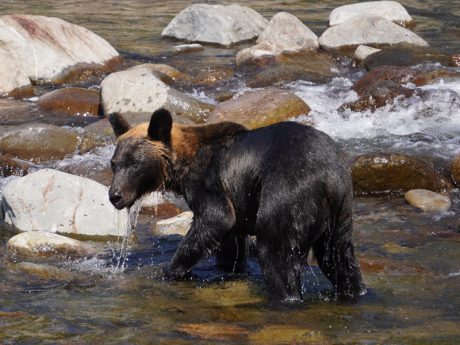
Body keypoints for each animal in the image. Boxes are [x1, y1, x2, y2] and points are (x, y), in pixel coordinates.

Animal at [108, 107, 366, 300]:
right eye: (114, 163)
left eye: (135, 163)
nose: (115, 195)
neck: (183, 167)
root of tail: (328, 177)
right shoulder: (240, 203)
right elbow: (231, 245)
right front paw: (228, 269)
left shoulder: (210, 181)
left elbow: (215, 219)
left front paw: (170, 271)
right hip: (341, 210)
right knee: (338, 258)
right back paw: (355, 291)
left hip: (288, 191)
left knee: (276, 253)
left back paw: (287, 297)